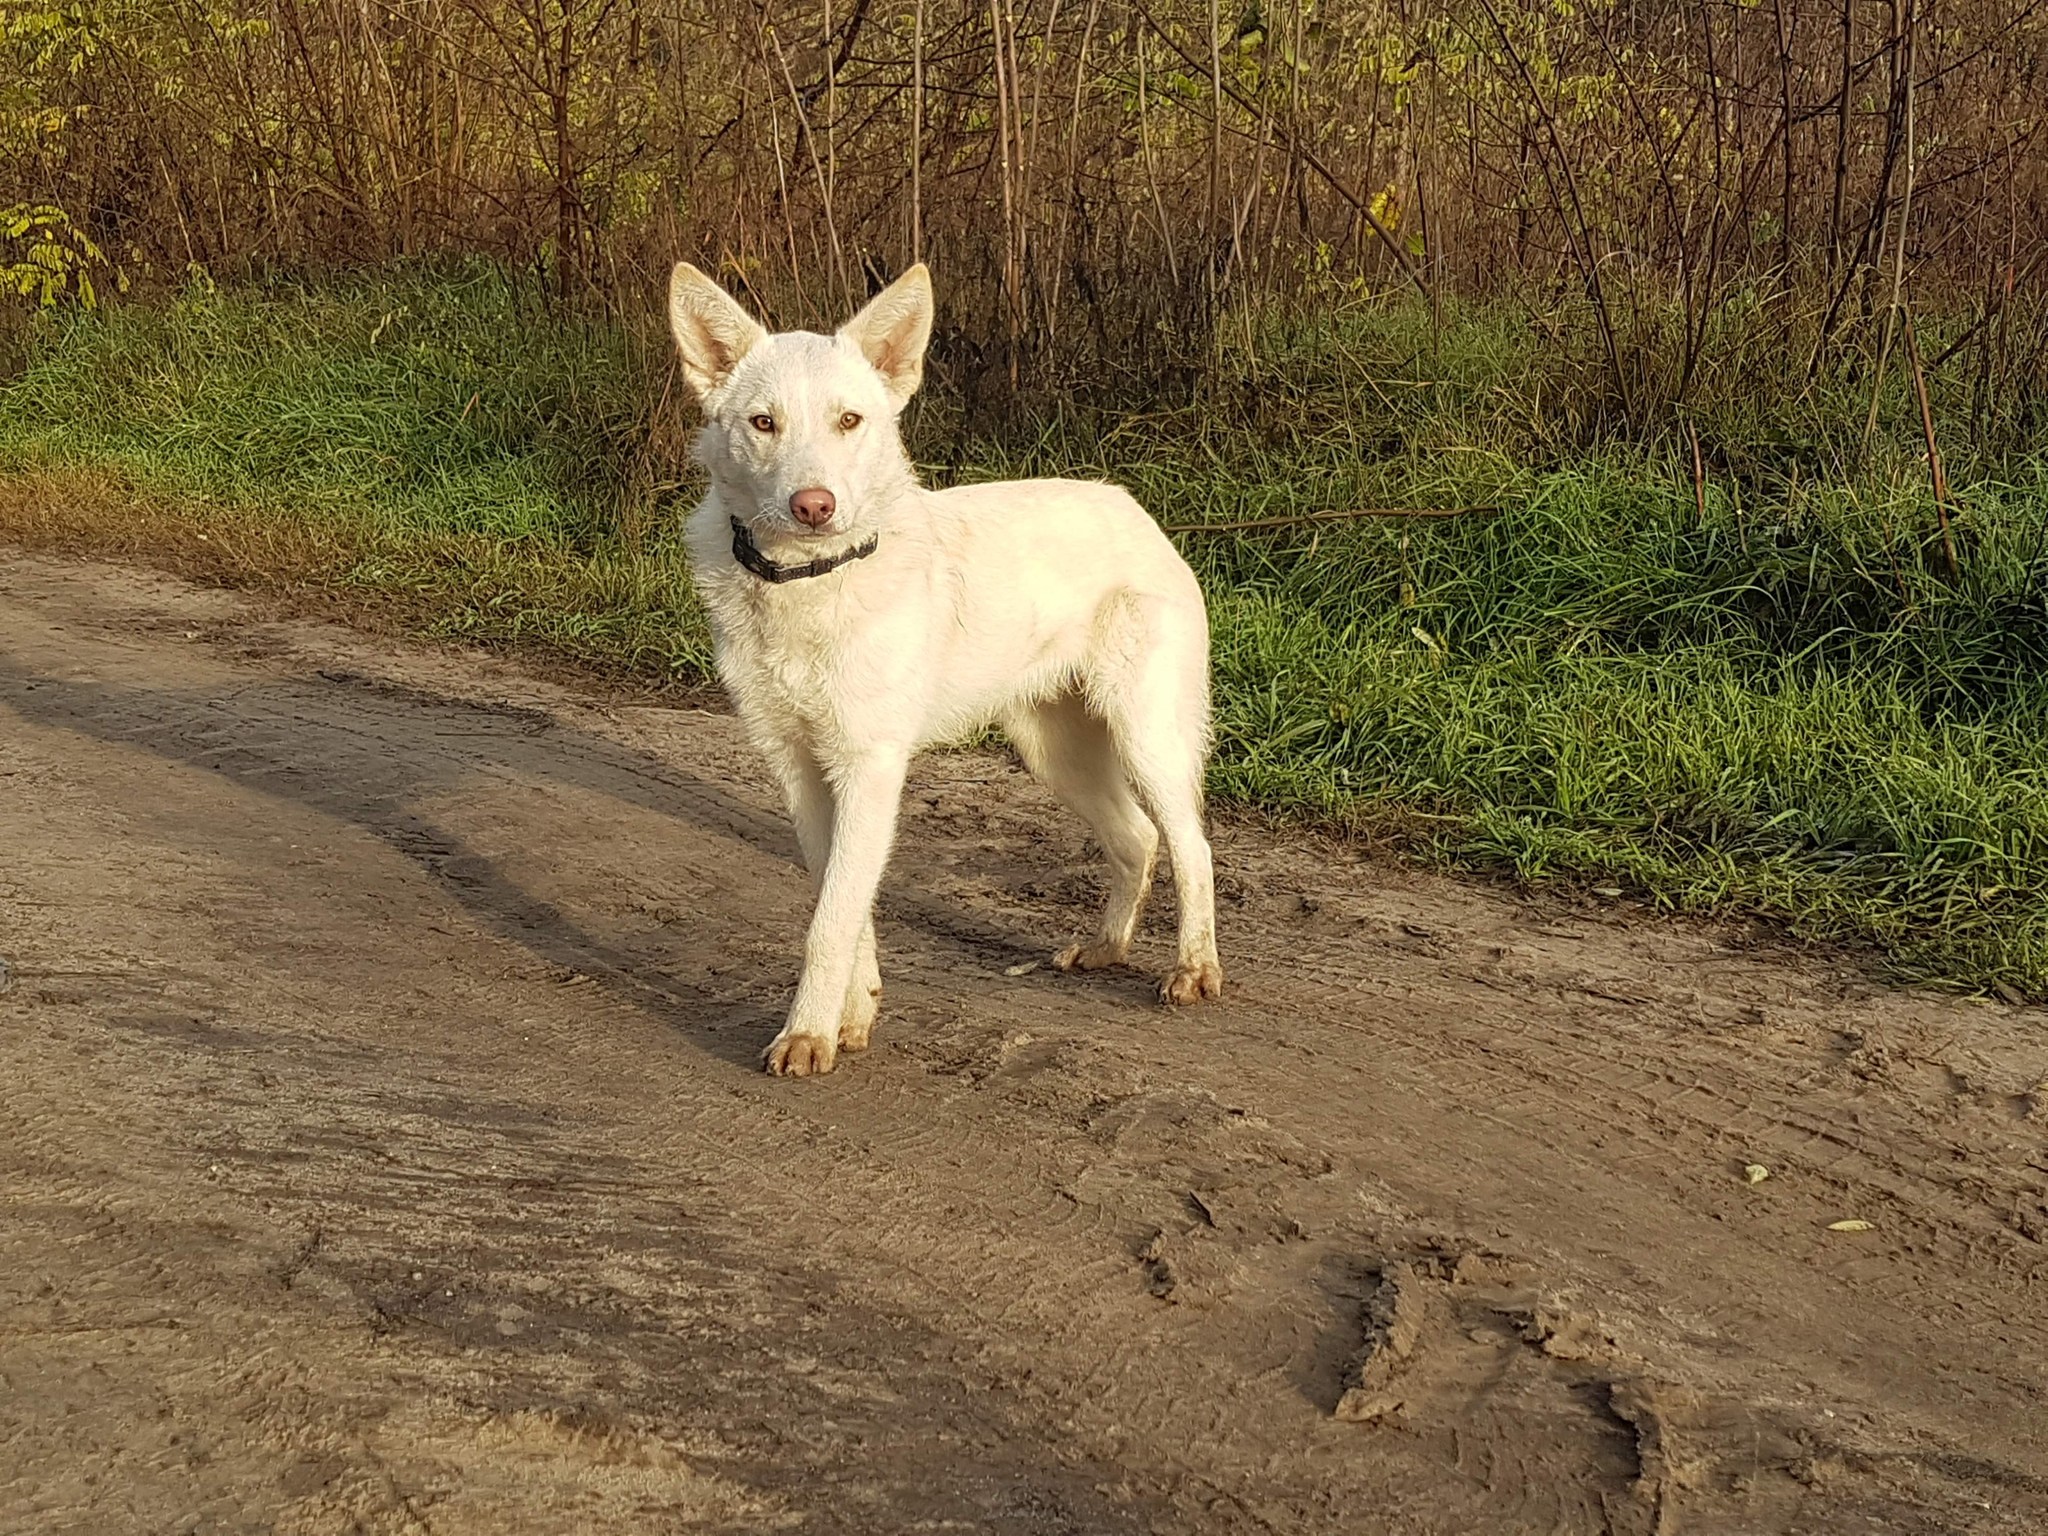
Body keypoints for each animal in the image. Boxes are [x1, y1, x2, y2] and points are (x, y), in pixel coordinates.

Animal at [671, 264, 1220, 1073]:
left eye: (849, 421)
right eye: (764, 423)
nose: (814, 506)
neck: (809, 582)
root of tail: (1133, 508)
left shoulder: (868, 767)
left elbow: (830, 918)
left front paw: (807, 1033)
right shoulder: (800, 770)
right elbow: (842, 902)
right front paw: (853, 1015)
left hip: (1146, 740)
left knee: (1191, 845)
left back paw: (1194, 968)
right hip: (1055, 753)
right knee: (1138, 840)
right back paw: (1106, 947)